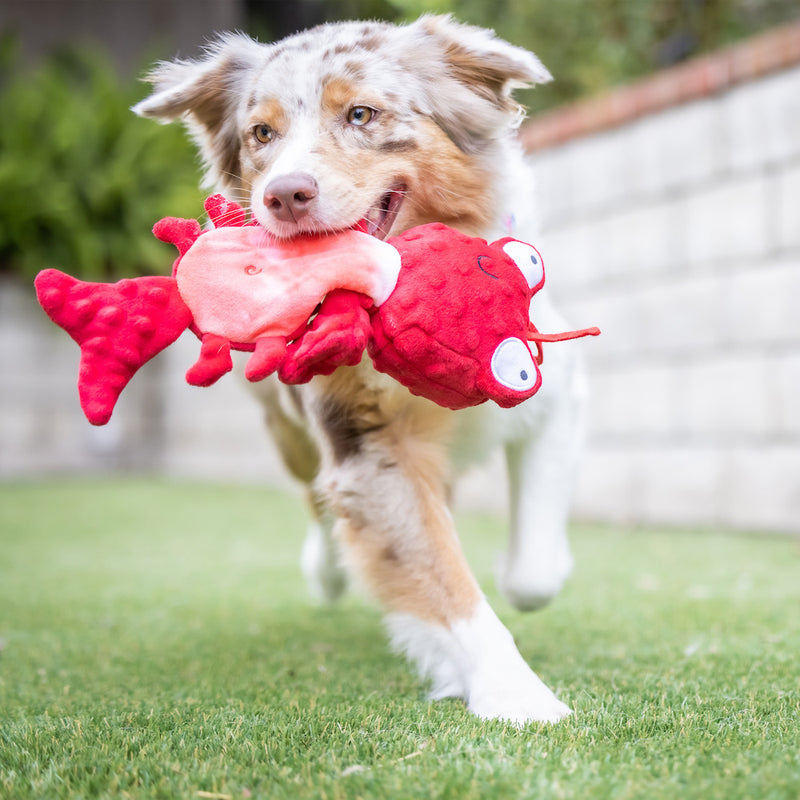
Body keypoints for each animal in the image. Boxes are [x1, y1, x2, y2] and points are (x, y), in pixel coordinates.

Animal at [130, 14, 580, 724]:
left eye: (361, 114)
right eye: (262, 134)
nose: (284, 195)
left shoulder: (552, 390)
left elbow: (530, 573)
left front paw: (531, 580)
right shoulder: (368, 449)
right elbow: (443, 577)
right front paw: (516, 693)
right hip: (285, 429)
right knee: (316, 496)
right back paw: (328, 569)